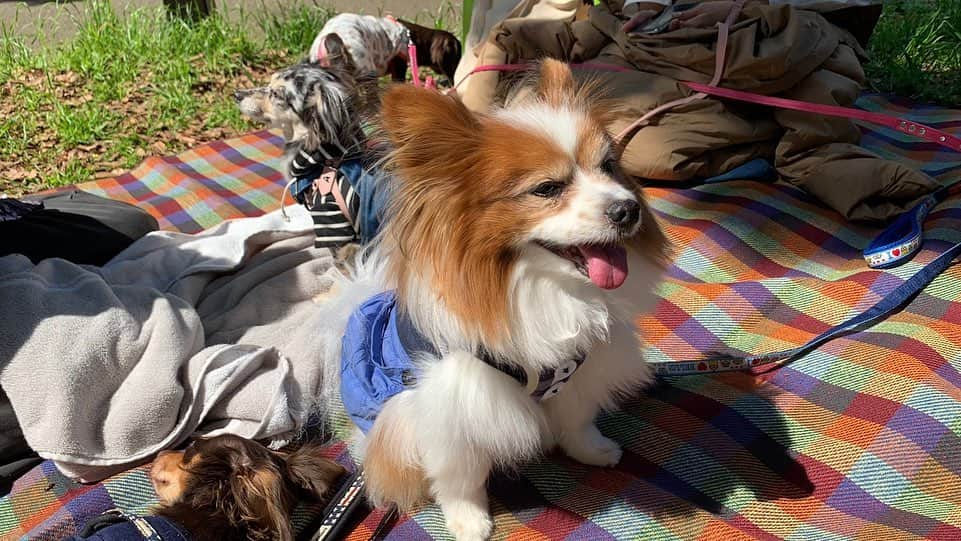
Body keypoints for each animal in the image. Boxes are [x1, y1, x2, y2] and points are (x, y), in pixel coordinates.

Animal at [308, 12, 458, 83]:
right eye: (455, 59)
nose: (454, 83)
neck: (412, 37)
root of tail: (331, 37)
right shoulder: (399, 67)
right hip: (366, 71)